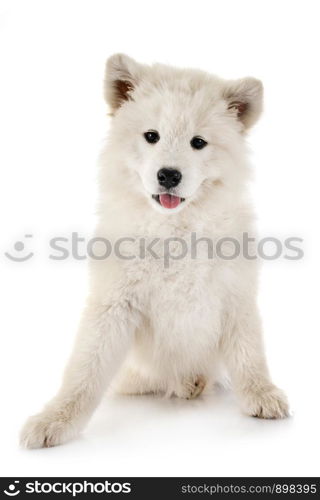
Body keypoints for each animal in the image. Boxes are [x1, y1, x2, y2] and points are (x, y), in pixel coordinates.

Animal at [21, 54, 288, 450]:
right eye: (151, 136)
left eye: (198, 142)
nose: (169, 175)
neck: (174, 229)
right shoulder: (114, 304)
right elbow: (85, 373)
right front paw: (55, 419)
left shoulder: (234, 296)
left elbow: (249, 355)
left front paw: (262, 394)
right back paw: (186, 382)